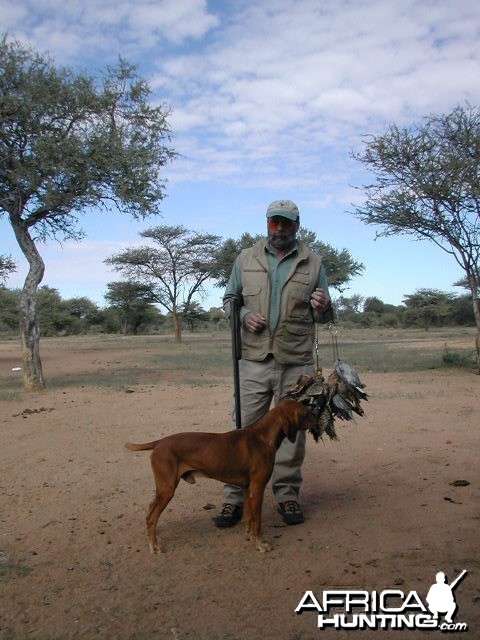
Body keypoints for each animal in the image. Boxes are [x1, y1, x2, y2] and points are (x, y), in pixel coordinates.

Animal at [124, 398, 318, 552]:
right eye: (306, 413)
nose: (318, 419)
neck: (262, 437)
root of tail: (159, 442)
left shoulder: (248, 488)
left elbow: (249, 518)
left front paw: (250, 537)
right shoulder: (257, 489)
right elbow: (258, 521)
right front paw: (260, 544)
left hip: (163, 489)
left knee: (150, 510)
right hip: (167, 489)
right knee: (151, 517)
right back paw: (154, 546)